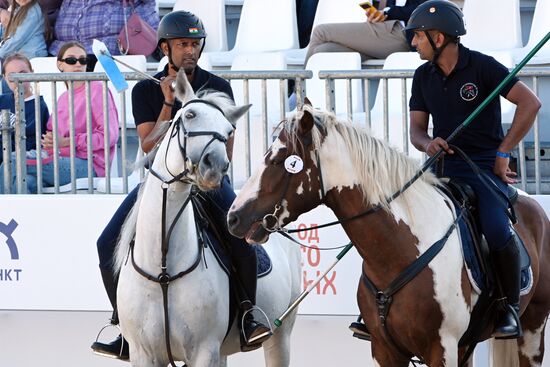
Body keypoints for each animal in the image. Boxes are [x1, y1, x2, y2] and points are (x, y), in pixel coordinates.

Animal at [227, 105, 550, 366]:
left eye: (280, 160)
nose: (233, 217)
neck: (400, 250)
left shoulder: (441, 348)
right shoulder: (386, 350)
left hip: (532, 328)